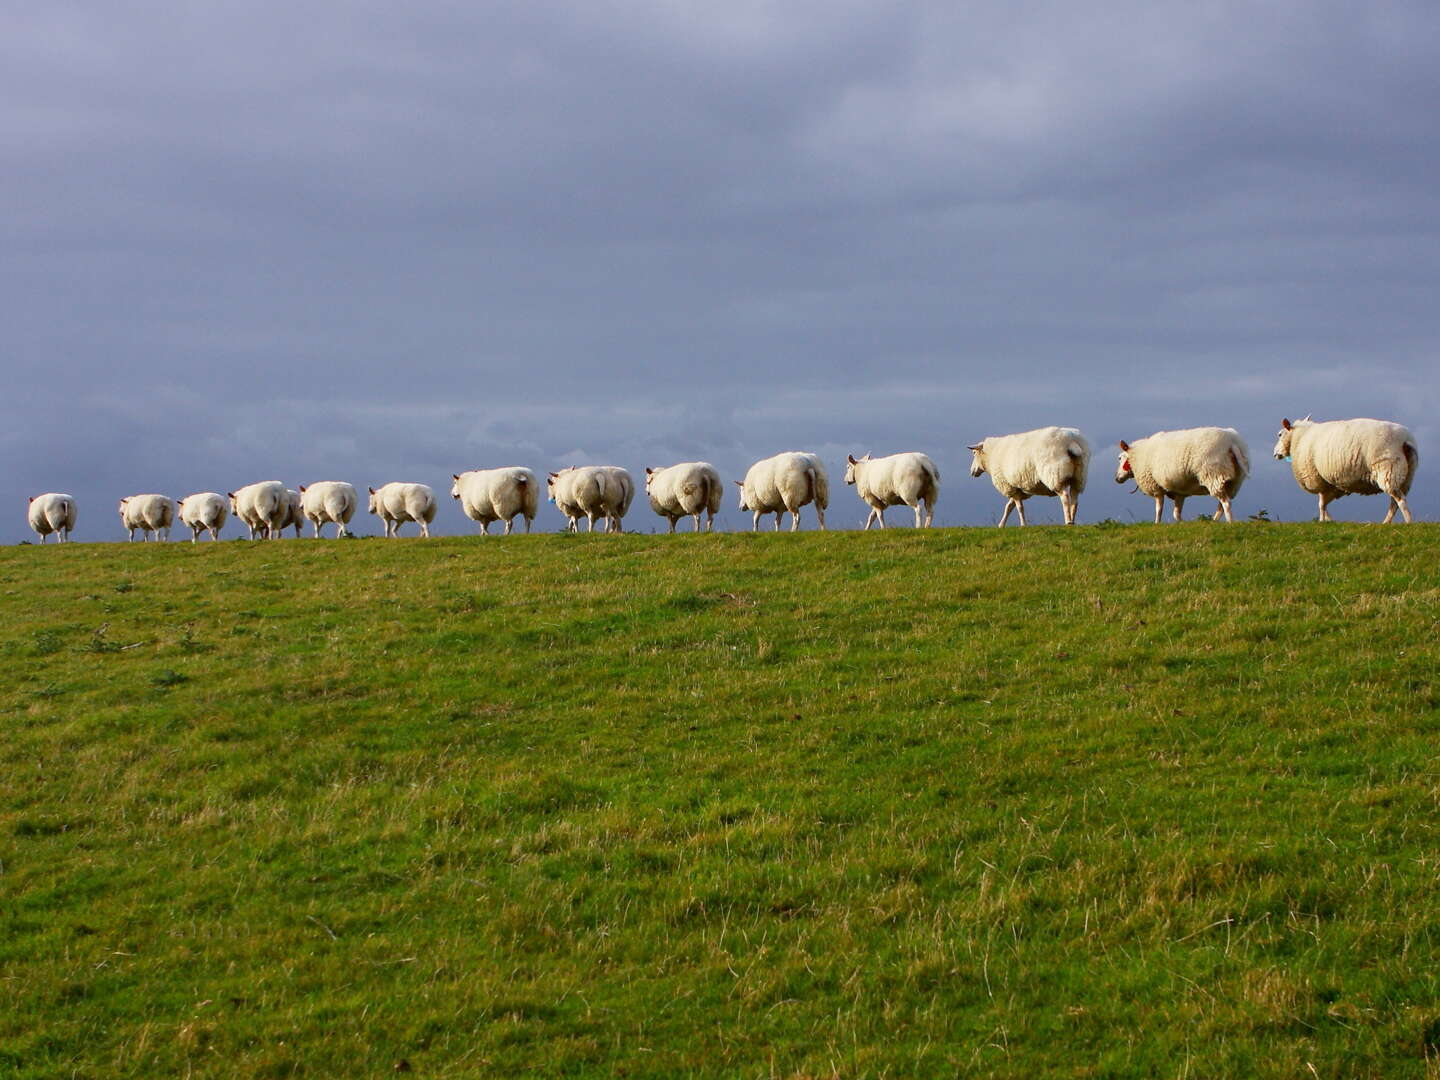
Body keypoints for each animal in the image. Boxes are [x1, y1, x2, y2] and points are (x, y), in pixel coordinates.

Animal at [1111, 426, 1249, 524]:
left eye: (1120, 458)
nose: (1117, 478)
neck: (1138, 455)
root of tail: (1231, 442)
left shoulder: (1156, 487)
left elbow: (1159, 509)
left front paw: (1156, 524)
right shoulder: (1179, 491)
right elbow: (1176, 514)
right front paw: (1184, 523)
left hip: (1213, 474)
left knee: (1226, 503)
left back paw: (1230, 523)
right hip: (1233, 481)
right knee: (1222, 505)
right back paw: (1213, 521)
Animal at [1272, 417, 1416, 524]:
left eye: (1280, 434)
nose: (1275, 454)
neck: (1300, 437)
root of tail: (1405, 440)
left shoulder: (1318, 479)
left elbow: (1321, 504)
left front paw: (1322, 520)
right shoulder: (1330, 483)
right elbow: (1324, 503)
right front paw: (1329, 520)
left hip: (1387, 470)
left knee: (1400, 500)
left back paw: (1409, 522)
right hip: (1407, 475)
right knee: (1394, 503)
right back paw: (1386, 522)